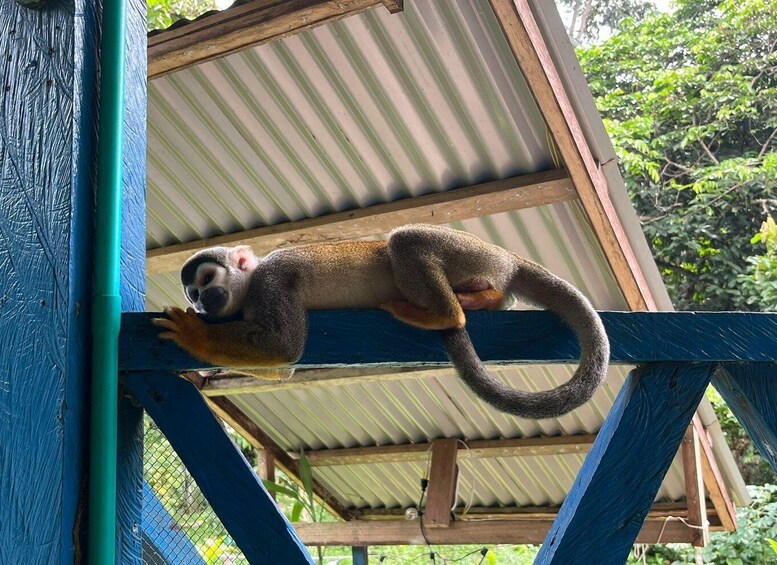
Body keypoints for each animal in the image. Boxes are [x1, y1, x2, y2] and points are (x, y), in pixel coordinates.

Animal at [153, 224, 610, 419]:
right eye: (193, 293)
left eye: (207, 282)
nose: (203, 303)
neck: (247, 291)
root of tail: (508, 257)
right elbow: (282, 366)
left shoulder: (272, 280)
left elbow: (285, 346)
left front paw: (193, 334)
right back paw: (485, 298)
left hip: (469, 251)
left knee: (405, 240)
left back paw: (448, 312)